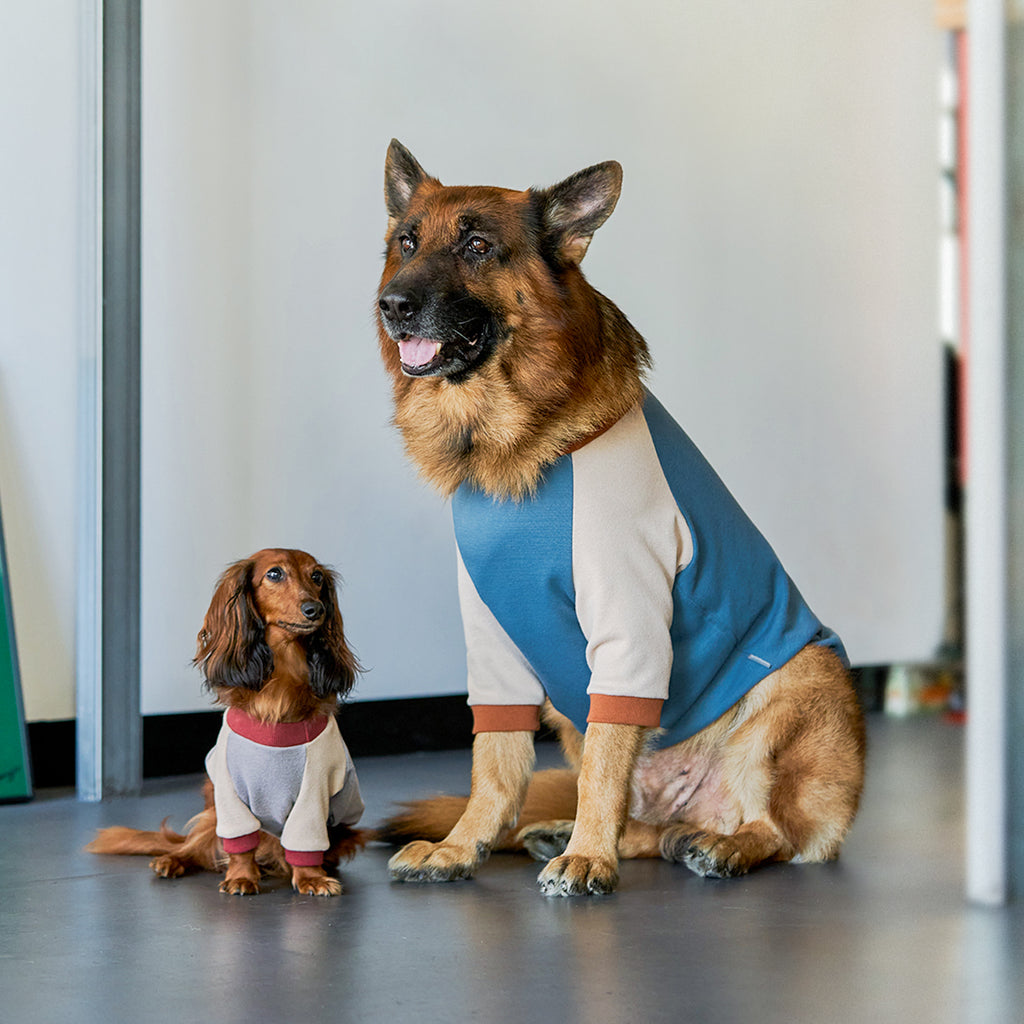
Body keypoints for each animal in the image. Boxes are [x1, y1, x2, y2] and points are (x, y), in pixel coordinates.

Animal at [87, 548, 368, 892]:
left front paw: (311, 878)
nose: (316, 610)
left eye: (316, 576)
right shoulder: (228, 791)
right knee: (195, 846)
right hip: (212, 815)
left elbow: (305, 843)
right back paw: (173, 860)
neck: (282, 687)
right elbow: (239, 843)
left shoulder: (315, 792)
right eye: (274, 574)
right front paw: (242, 877)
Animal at [376, 142, 864, 897]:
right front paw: (462, 846)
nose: (392, 305)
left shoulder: (628, 625)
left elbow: (606, 763)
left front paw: (588, 858)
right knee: (639, 821)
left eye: (477, 246)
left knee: (776, 831)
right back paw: (589, 834)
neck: (514, 447)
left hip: (799, 681)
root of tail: (691, 811)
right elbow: (495, 763)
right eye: (407, 242)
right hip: (568, 709)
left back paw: (719, 845)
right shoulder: (493, 640)